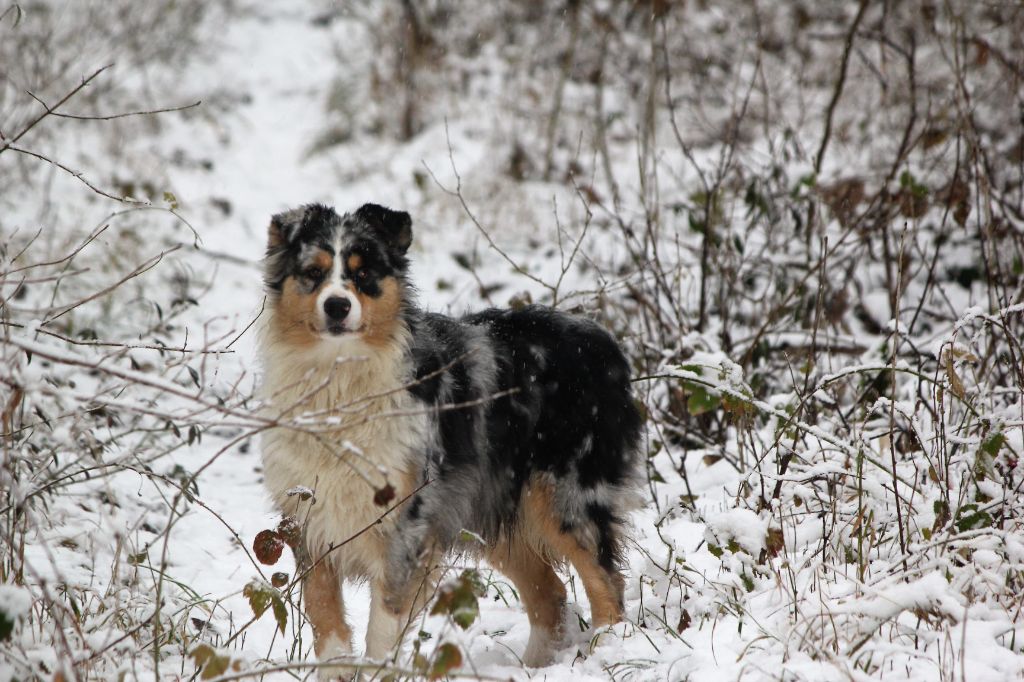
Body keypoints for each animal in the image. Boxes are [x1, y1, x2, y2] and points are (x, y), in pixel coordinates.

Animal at [258, 202, 638, 675]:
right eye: (313, 272)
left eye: (364, 274)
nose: (337, 306)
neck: (341, 380)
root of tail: (603, 339)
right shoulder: (312, 520)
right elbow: (326, 620)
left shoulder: (407, 525)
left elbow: (383, 627)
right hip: (491, 505)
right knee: (550, 595)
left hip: (567, 496)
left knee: (607, 583)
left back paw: (608, 654)